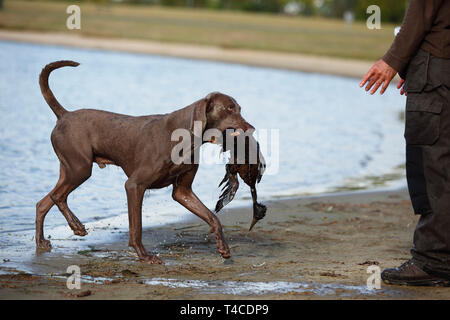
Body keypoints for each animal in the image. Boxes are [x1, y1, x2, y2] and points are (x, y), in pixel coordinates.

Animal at [37, 61, 255, 264]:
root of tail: (65, 115)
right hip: (80, 169)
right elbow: (137, 227)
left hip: (71, 170)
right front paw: (144, 255)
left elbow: (213, 217)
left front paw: (223, 246)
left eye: (240, 109)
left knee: (42, 203)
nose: (251, 128)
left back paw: (41, 242)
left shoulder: (182, 191)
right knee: (57, 196)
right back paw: (76, 226)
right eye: (229, 109)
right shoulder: (134, 185)